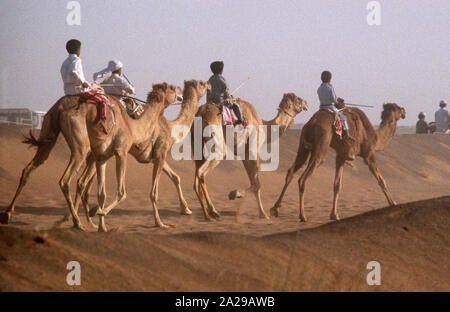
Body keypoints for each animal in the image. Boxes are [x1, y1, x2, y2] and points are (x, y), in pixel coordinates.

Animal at [84, 80, 211, 232]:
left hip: (98, 156)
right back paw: (90, 218)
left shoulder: (156, 157)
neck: (171, 129)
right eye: (202, 84)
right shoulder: (161, 154)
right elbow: (154, 193)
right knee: (85, 184)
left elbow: (176, 177)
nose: (209, 85)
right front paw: (159, 223)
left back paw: (95, 223)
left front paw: (186, 209)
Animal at [268, 103, 406, 221]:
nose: (404, 111)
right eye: (398, 108)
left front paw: (334, 215)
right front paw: (393, 203)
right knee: (302, 178)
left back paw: (275, 208)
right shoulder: (369, 154)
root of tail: (312, 122)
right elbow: (381, 180)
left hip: (304, 145)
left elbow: (337, 185)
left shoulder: (341, 156)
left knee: (291, 171)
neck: (375, 137)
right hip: (322, 143)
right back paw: (302, 216)